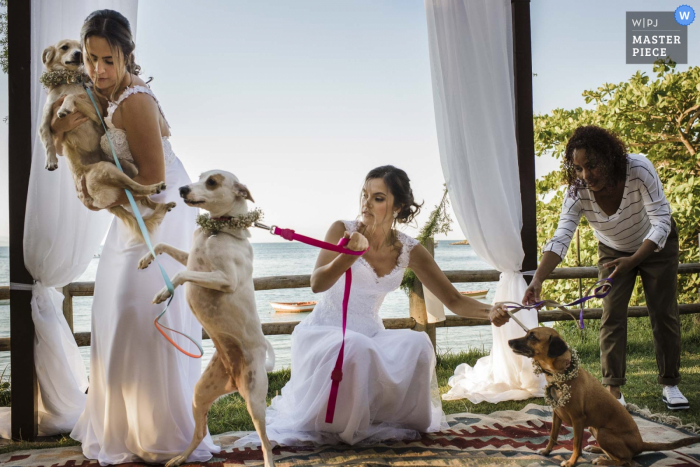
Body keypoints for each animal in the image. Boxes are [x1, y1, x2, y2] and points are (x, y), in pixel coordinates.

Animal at [39, 38, 175, 239]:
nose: (78, 54)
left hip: (122, 166)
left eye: (80, 48)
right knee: (136, 193)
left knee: (137, 191)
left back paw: (158, 197)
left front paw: (66, 107)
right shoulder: (47, 117)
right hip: (110, 169)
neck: (69, 80)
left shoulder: (95, 112)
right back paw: (159, 199)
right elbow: (48, 138)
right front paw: (51, 160)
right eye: (65, 47)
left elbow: (73, 96)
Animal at [137, 171, 276, 467]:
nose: (182, 189)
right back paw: (180, 458)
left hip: (255, 401)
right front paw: (145, 259)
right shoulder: (191, 258)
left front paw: (163, 292)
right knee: (200, 432)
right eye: (200, 177)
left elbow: (181, 275)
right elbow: (164, 246)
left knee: (266, 444)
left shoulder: (225, 279)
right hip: (200, 393)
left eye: (212, 181)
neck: (216, 230)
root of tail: (234, 380)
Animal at [508, 328, 700, 467]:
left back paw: (603, 460)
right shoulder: (557, 415)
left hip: (602, 432)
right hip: (594, 427)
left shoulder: (578, 419)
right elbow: (552, 436)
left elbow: (576, 445)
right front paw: (547, 452)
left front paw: (571, 462)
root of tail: (640, 443)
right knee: (620, 456)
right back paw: (596, 450)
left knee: (626, 461)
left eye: (532, 336)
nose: (509, 341)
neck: (561, 375)